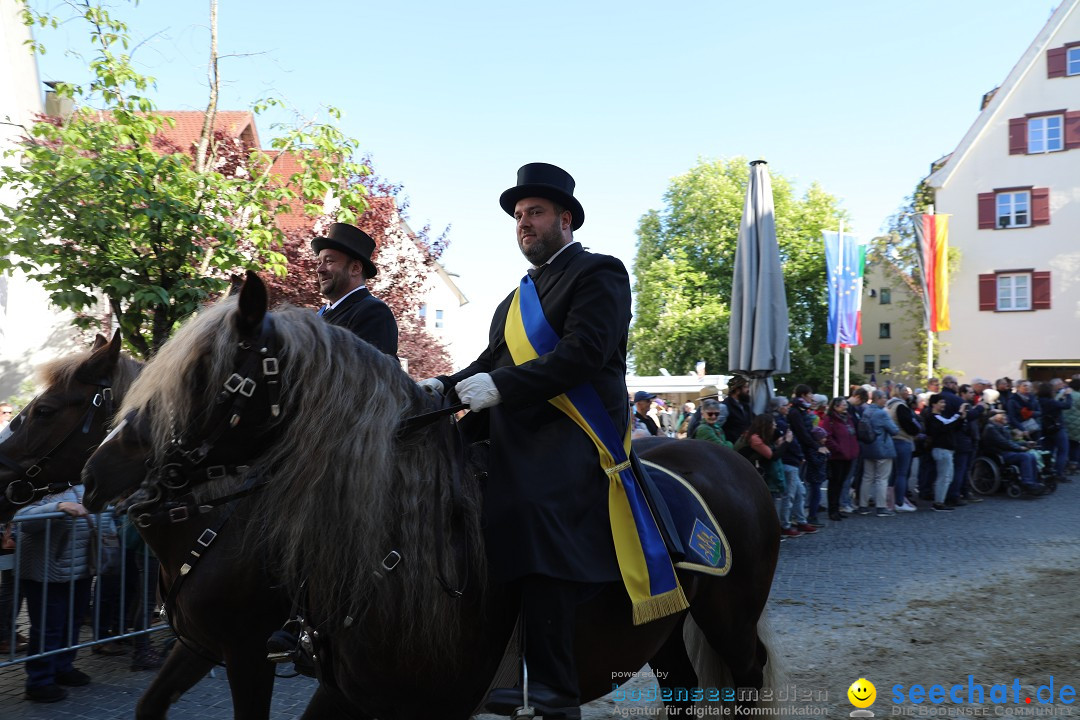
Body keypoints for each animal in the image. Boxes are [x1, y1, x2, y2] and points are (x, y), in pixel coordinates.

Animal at [82, 272, 777, 720]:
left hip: (730, 622)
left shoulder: (255, 654)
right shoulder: (340, 687)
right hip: (664, 631)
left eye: (210, 374)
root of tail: (728, 458)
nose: (96, 473)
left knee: (747, 676)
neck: (401, 549)